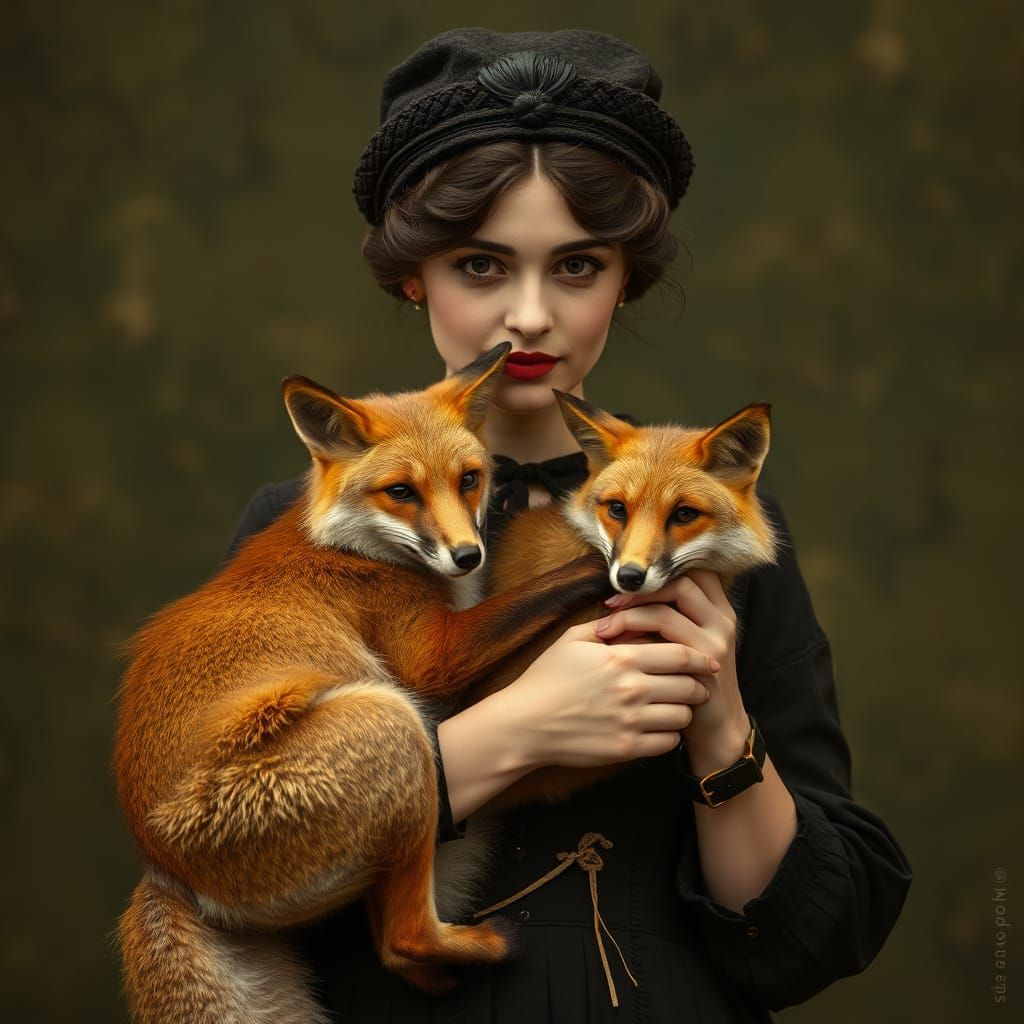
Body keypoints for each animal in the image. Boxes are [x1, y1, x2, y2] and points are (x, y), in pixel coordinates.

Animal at [112, 343, 612, 1024]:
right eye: (400, 492)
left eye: (469, 479)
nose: (468, 556)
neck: (358, 551)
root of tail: (165, 869)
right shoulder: (430, 656)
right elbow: (538, 592)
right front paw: (601, 565)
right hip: (393, 724)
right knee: (402, 939)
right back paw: (488, 945)